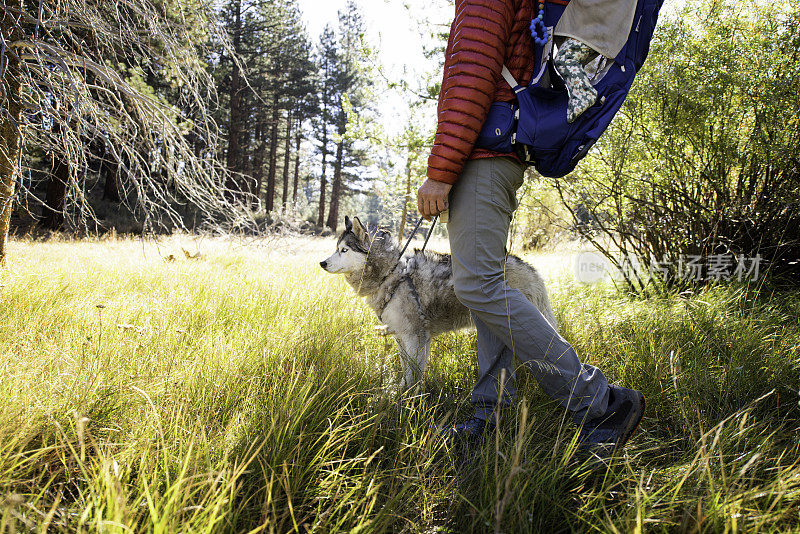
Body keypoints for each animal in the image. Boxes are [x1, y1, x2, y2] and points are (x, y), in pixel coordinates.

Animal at [318, 217, 556, 390]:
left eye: (344, 250)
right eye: (336, 248)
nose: (322, 263)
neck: (391, 273)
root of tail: (530, 268)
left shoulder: (416, 336)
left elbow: (414, 372)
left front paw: (407, 398)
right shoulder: (401, 336)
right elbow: (406, 369)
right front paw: (399, 391)